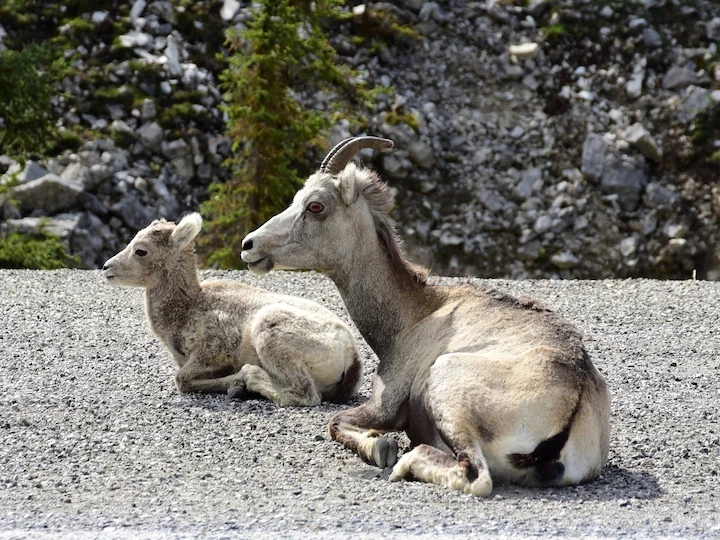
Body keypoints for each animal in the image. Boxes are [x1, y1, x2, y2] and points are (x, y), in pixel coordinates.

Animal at [101, 213, 362, 406]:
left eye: (141, 250)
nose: (106, 267)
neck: (189, 307)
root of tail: (351, 355)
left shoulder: (216, 349)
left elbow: (181, 379)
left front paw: (237, 384)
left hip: (269, 330)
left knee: (306, 395)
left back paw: (251, 379)